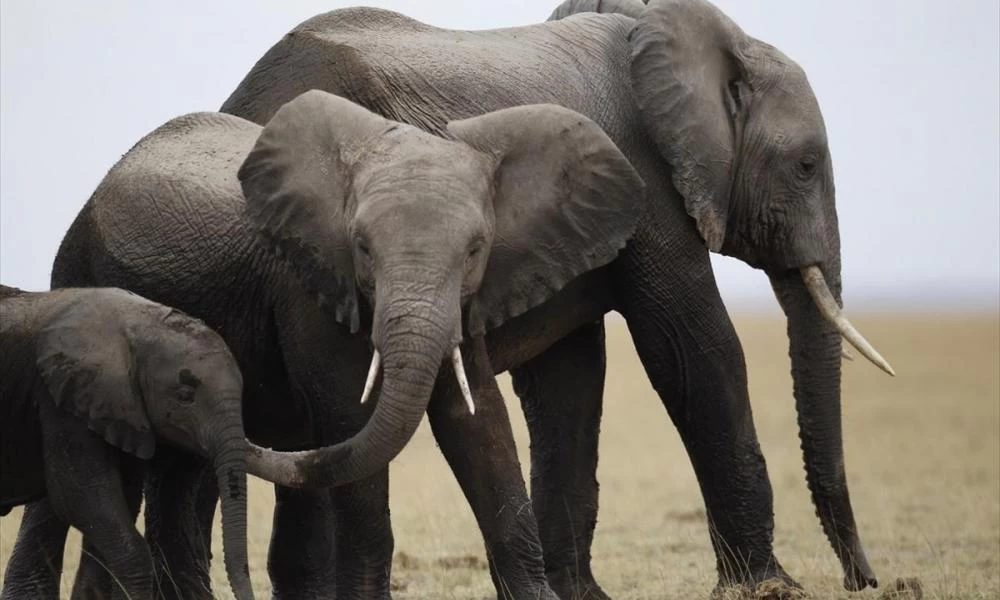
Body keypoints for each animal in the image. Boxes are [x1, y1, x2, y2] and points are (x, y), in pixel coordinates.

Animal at [0, 284, 348, 600]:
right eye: (185, 395)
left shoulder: (120, 412)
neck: (137, 324)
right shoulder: (61, 404)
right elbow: (78, 495)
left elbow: (117, 501)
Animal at [215, 0, 896, 596]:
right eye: (806, 165)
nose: (864, 580)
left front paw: (580, 596)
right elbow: (693, 353)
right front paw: (772, 588)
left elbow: (567, 383)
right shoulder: (653, 184)